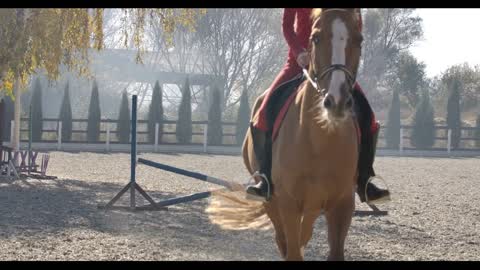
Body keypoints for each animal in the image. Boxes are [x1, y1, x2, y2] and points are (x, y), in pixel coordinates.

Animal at [204, 8, 362, 262]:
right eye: (316, 38)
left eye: (359, 39)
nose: (336, 102)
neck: (320, 141)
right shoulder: (288, 204)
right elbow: (291, 250)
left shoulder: (342, 205)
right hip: (272, 200)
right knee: (283, 239)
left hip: (314, 205)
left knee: (304, 234)